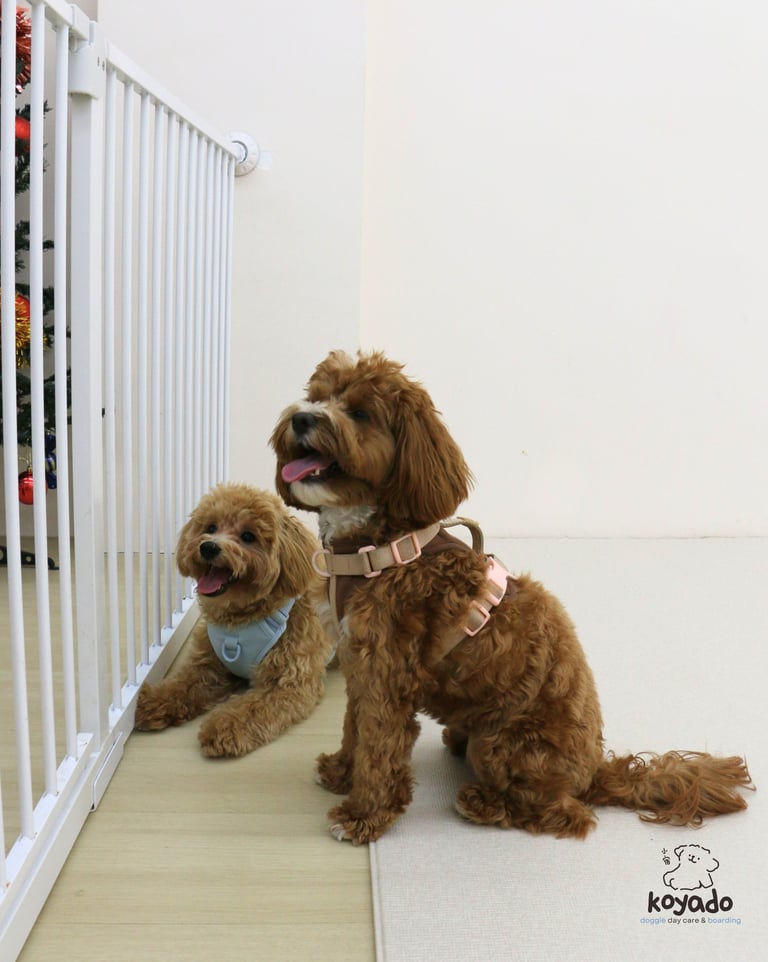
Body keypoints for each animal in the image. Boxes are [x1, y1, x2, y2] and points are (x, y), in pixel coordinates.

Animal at [135, 483, 333, 757]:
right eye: (210, 528)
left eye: (248, 536)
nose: (208, 547)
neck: (240, 621)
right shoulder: (208, 666)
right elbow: (181, 683)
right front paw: (154, 700)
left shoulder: (288, 683)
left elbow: (251, 709)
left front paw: (223, 728)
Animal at [270, 350, 753, 843]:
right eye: (316, 397)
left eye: (361, 413)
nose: (303, 418)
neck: (381, 545)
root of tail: (594, 770)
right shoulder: (359, 663)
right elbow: (354, 728)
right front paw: (341, 771)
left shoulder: (388, 675)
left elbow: (378, 748)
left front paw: (363, 815)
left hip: (503, 742)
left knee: (564, 813)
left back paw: (484, 803)